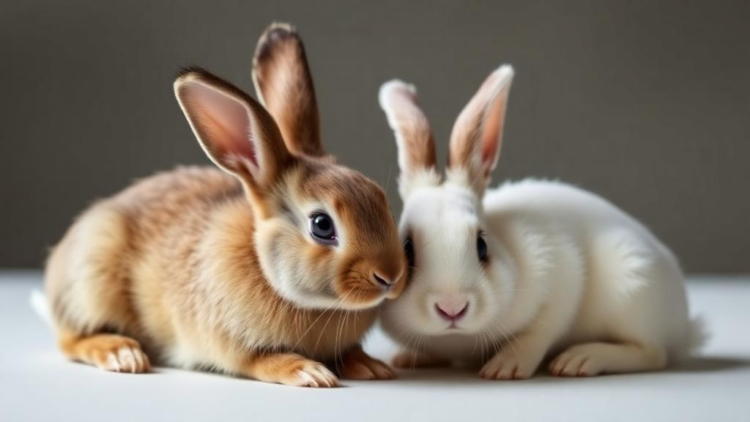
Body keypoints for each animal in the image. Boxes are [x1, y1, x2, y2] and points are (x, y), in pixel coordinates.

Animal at [44, 23, 406, 387]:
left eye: (381, 199)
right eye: (322, 225)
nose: (391, 276)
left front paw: (372, 366)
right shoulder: (230, 345)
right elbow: (262, 361)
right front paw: (309, 372)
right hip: (91, 280)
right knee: (71, 339)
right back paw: (122, 353)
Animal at [377, 64, 703, 379]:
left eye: (482, 246)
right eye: (406, 249)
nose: (452, 308)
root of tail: (683, 326)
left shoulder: (562, 277)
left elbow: (537, 333)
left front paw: (506, 367)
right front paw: (407, 358)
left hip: (633, 286)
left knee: (652, 353)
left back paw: (581, 359)